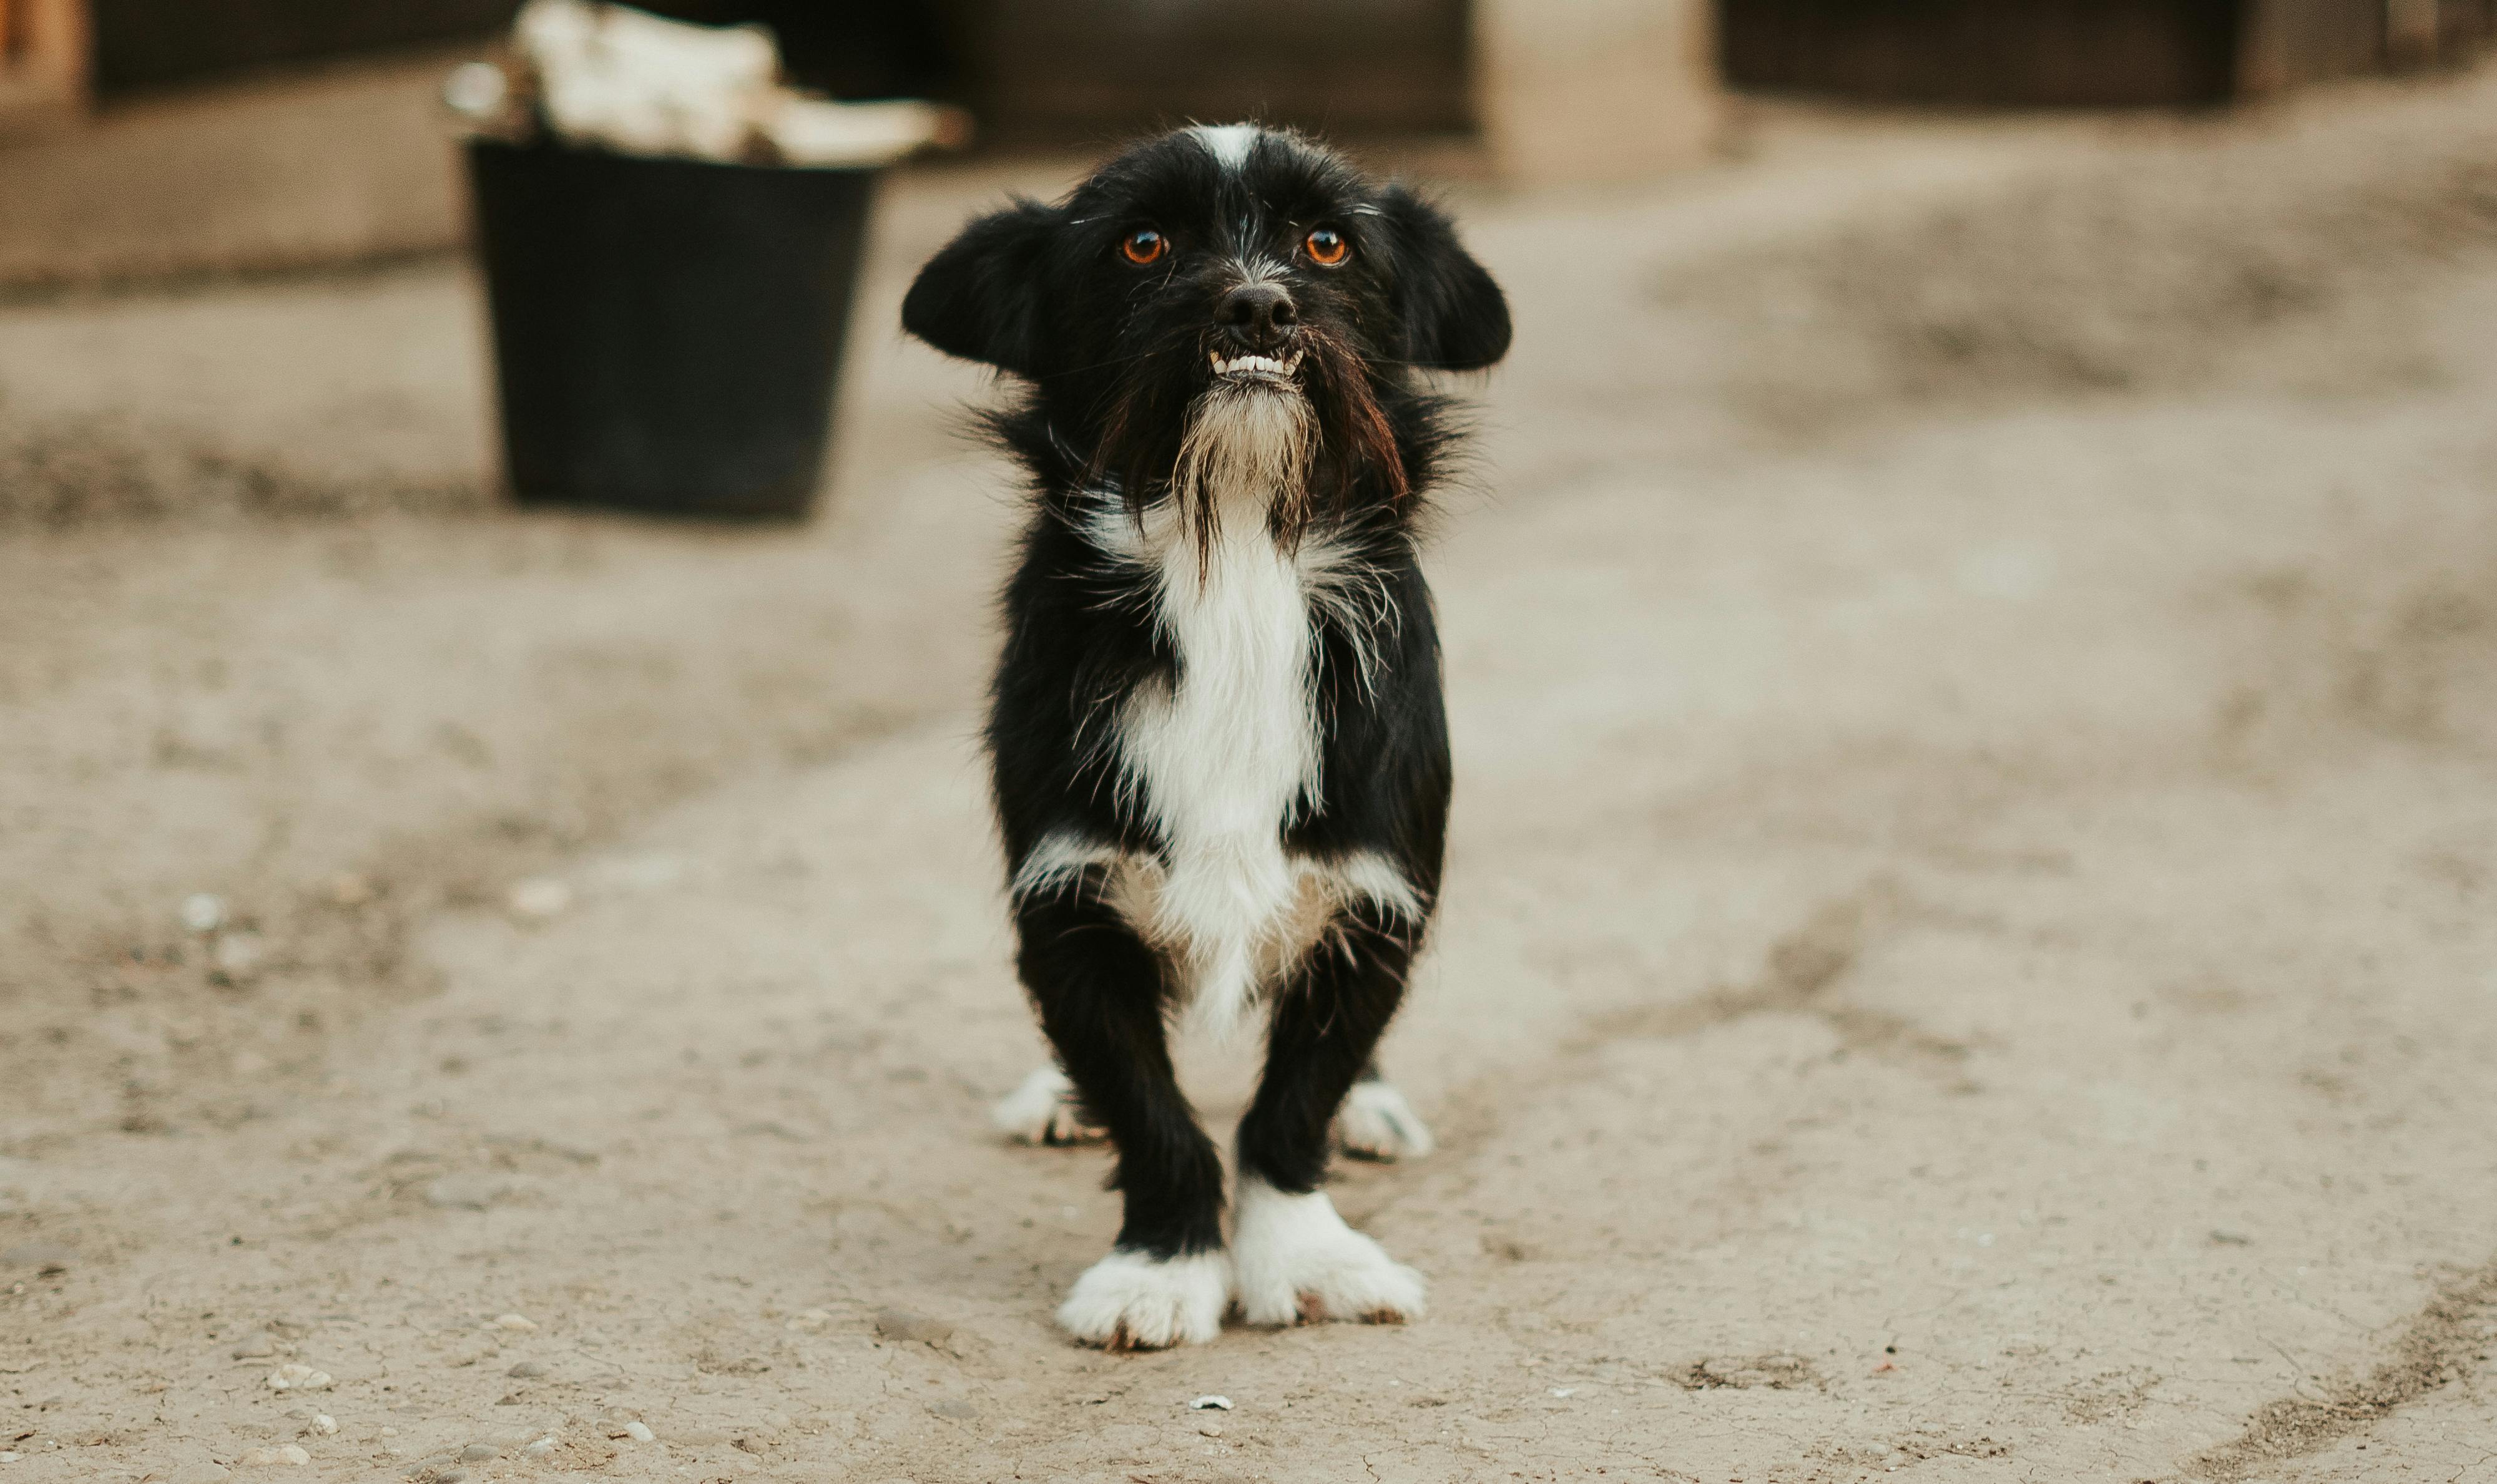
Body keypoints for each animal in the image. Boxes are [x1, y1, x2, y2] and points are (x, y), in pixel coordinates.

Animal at [909, 124, 1508, 1339]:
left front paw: (1304, 1253)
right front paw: (1163, 1265)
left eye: (1327, 242)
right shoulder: (1068, 906)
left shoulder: (1378, 899)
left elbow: (1294, 1105)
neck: (1232, 554)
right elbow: (1149, 1108)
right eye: (1143, 243)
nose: (1258, 307)